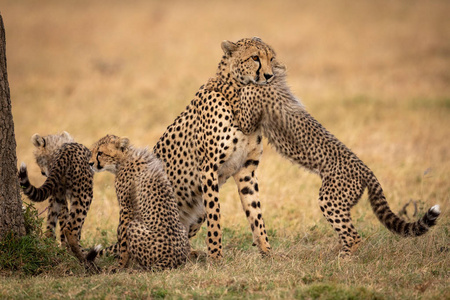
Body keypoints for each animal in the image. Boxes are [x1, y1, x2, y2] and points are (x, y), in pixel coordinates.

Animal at [17, 131, 94, 262]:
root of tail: (65, 153)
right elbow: (69, 223)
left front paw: (64, 249)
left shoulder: (57, 192)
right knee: (71, 228)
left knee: (50, 227)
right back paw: (86, 259)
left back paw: (52, 247)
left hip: (60, 194)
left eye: (37, 159)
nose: (43, 173)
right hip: (85, 193)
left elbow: (62, 220)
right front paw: (68, 249)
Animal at [88, 135, 190, 270]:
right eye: (93, 151)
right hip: (182, 228)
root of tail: (172, 258)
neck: (124, 158)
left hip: (134, 227)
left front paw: (120, 265)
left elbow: (122, 240)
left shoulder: (126, 208)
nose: (90, 163)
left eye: (100, 153)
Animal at [151, 37, 284, 258]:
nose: (269, 76)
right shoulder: (208, 169)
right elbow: (215, 216)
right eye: (255, 58)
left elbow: (256, 213)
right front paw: (216, 256)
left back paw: (191, 255)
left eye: (271, 58)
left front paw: (267, 251)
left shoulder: (246, 170)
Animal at [230, 62, 442, 256]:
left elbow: (241, 106)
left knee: (353, 236)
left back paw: (343, 259)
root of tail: (367, 170)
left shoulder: (249, 117)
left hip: (330, 199)